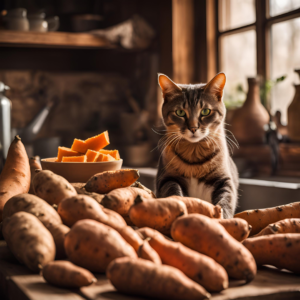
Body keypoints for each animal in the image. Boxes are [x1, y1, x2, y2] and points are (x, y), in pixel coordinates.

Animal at [156, 72, 238, 218]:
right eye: (180, 112)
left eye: (205, 111)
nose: (193, 128)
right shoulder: (166, 179)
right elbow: (174, 192)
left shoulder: (224, 180)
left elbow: (226, 199)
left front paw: (223, 217)